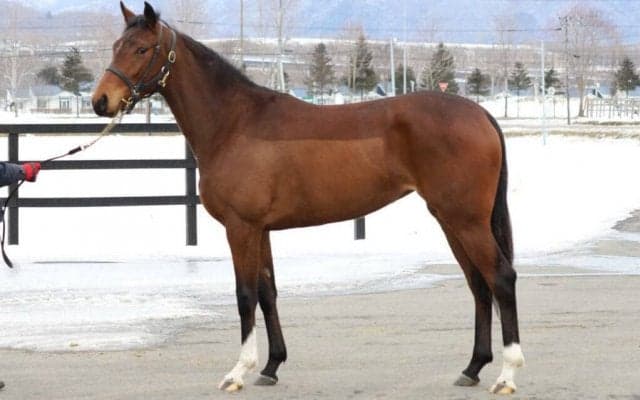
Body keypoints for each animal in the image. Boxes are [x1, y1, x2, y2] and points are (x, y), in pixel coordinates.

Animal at [92, 2, 524, 395]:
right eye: (116, 45)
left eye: (141, 49)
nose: (101, 101)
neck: (234, 123)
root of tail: (479, 115)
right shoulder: (261, 230)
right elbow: (267, 293)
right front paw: (271, 366)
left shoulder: (241, 228)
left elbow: (245, 295)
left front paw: (238, 372)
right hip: (451, 220)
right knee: (478, 284)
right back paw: (472, 367)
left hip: (466, 221)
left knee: (500, 278)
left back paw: (506, 375)